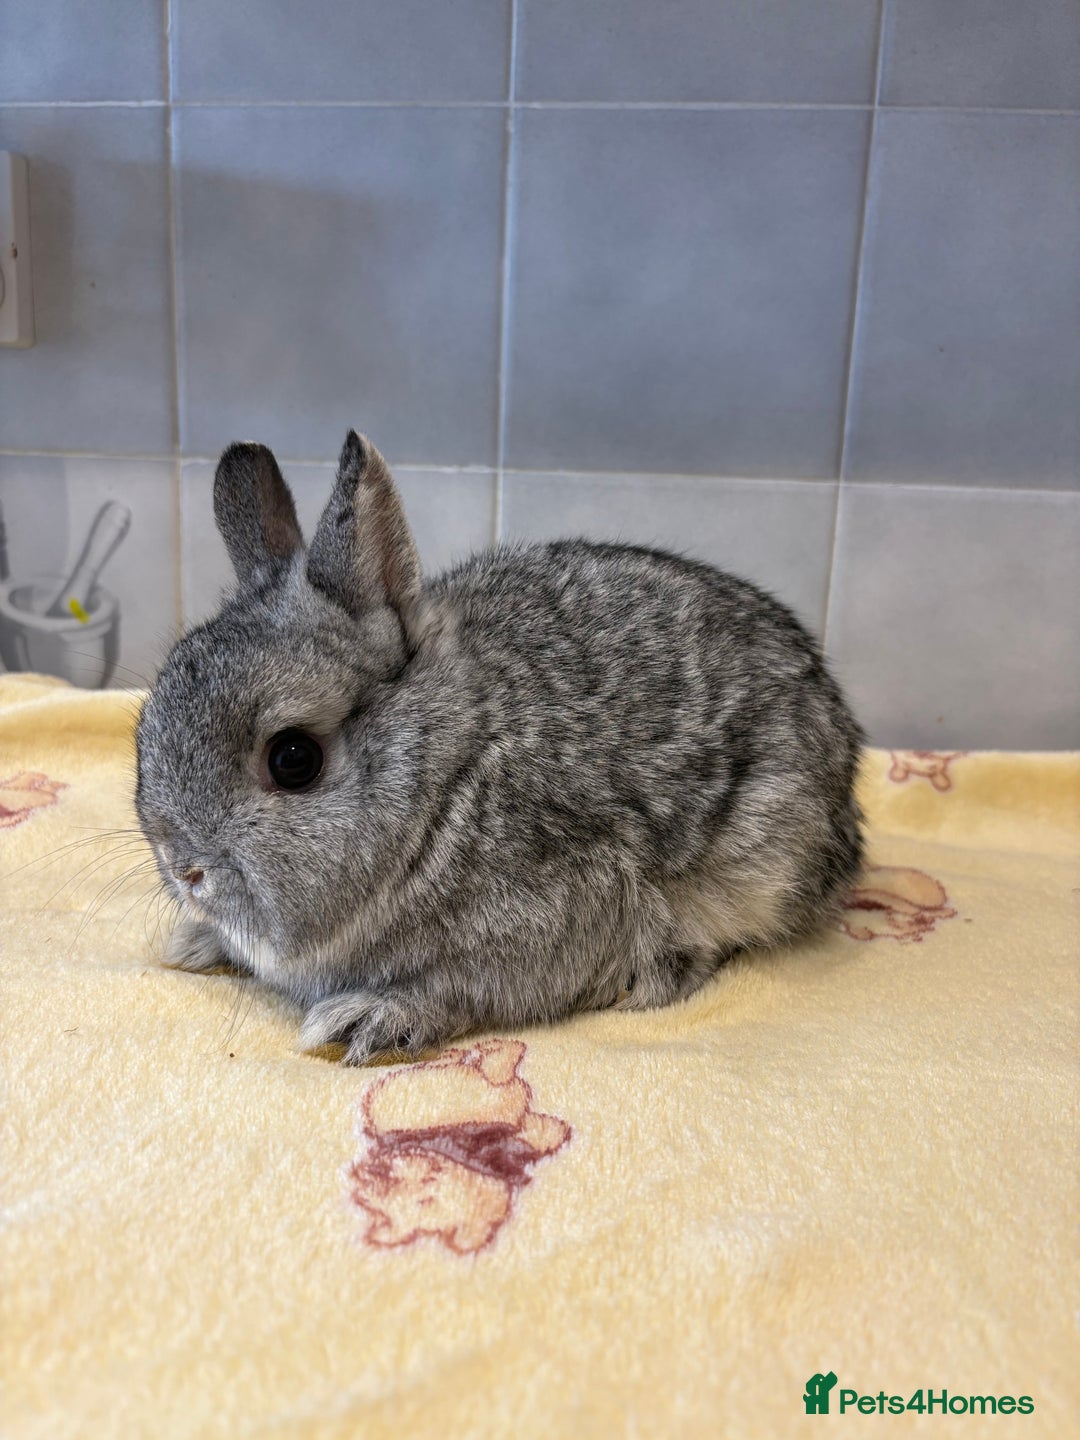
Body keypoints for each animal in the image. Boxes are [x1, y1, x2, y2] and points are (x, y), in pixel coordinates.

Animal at [135, 430, 864, 1065]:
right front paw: (193, 944)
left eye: (293, 759)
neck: (445, 780)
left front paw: (370, 1018)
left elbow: (464, 989)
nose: (183, 868)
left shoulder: (554, 914)